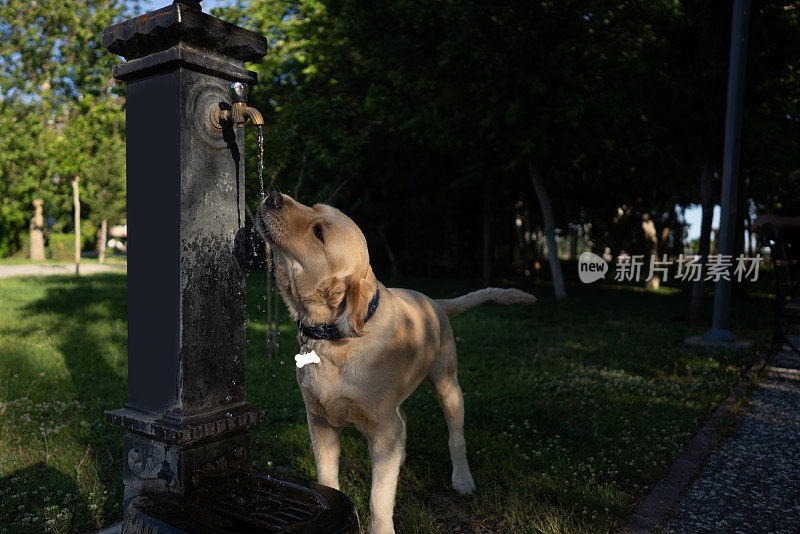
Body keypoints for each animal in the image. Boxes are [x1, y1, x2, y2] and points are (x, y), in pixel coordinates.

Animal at [256, 193, 536, 534]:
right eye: (313, 207)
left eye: (319, 232)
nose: (272, 196)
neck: (334, 338)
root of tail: (434, 301)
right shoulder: (320, 421)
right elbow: (328, 479)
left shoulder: (382, 428)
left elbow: (379, 497)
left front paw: (381, 528)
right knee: (404, 421)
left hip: (448, 387)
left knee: (455, 438)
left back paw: (462, 479)